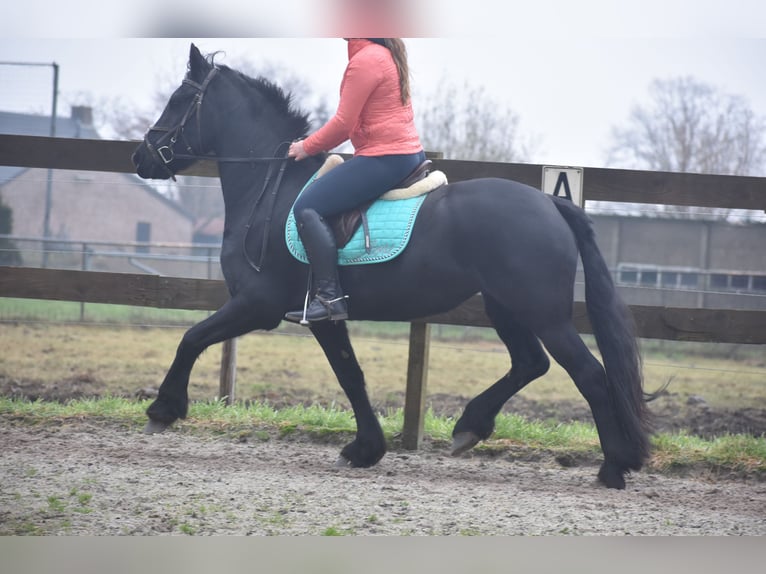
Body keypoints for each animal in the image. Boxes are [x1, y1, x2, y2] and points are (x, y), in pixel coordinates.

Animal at [134, 45, 656, 490]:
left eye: (179, 100)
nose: (142, 157)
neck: (273, 187)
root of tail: (551, 203)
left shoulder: (258, 304)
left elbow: (192, 338)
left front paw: (163, 408)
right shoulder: (321, 316)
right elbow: (351, 374)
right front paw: (366, 449)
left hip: (542, 312)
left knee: (589, 375)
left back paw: (613, 467)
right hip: (504, 306)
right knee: (530, 362)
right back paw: (471, 426)